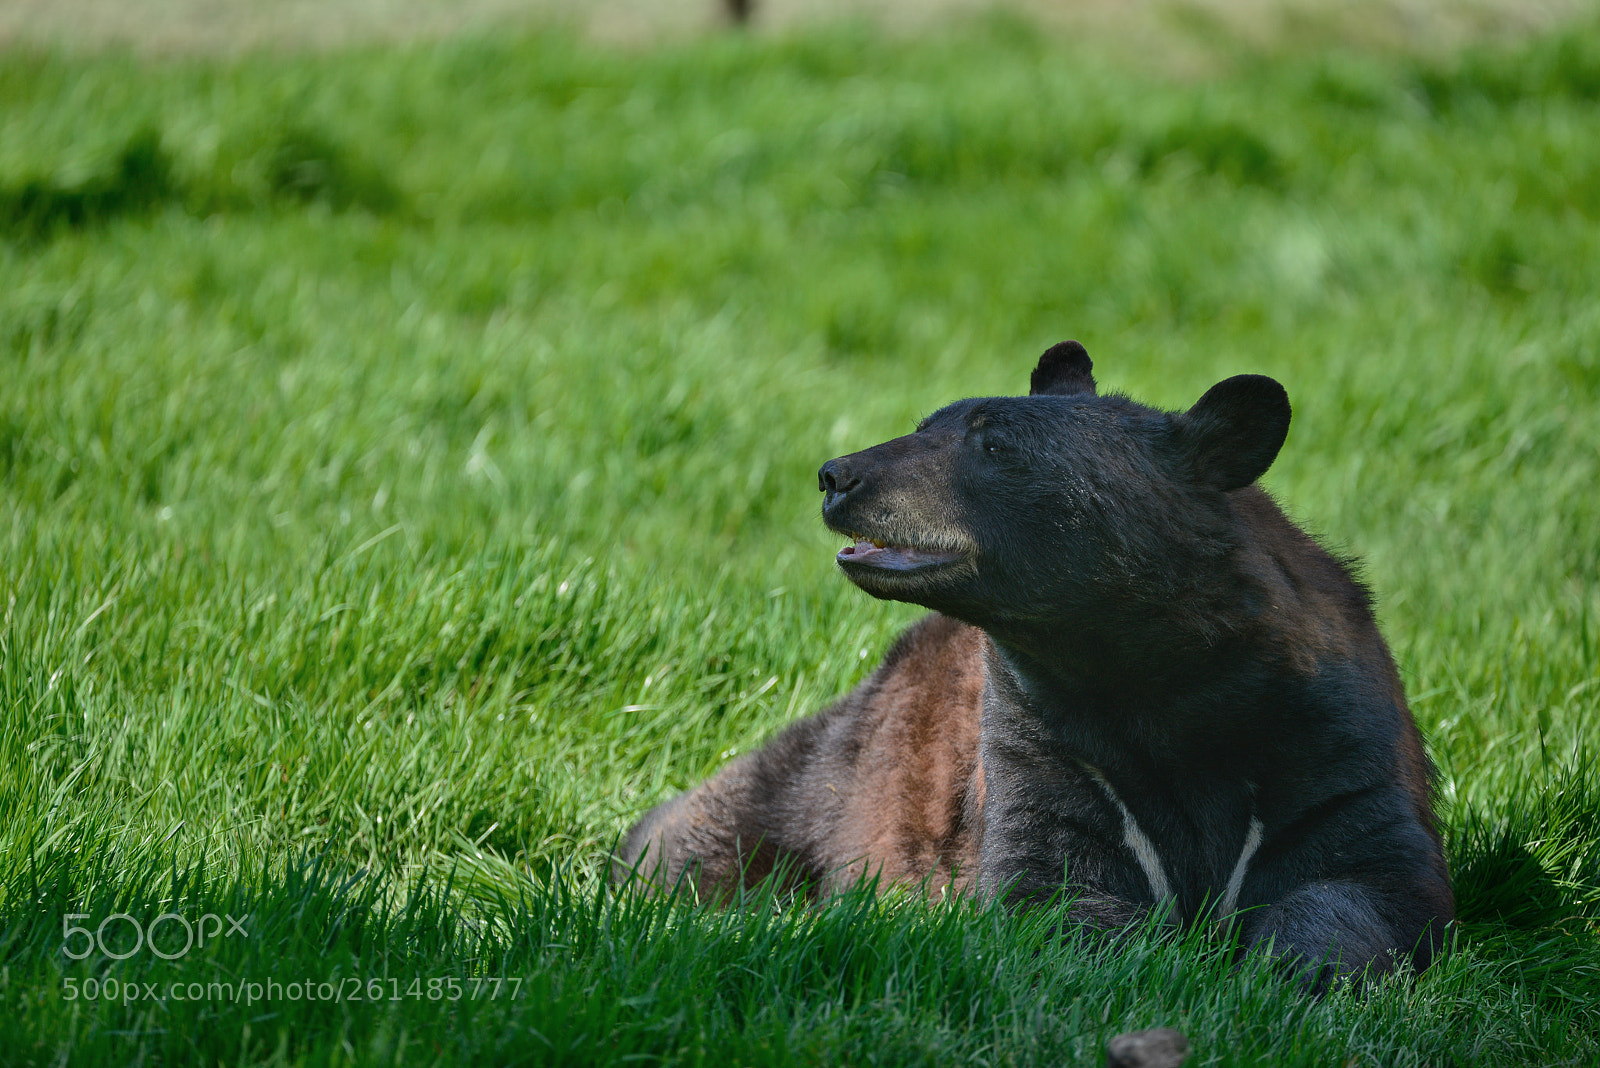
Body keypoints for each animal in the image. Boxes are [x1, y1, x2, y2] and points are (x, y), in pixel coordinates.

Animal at [616, 342, 1454, 989]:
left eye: (993, 446)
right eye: (925, 425)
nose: (838, 475)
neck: (1156, 682)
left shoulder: (1330, 744)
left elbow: (1366, 879)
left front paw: (1297, 971)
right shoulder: (1040, 744)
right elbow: (1054, 888)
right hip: (835, 764)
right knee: (705, 830)